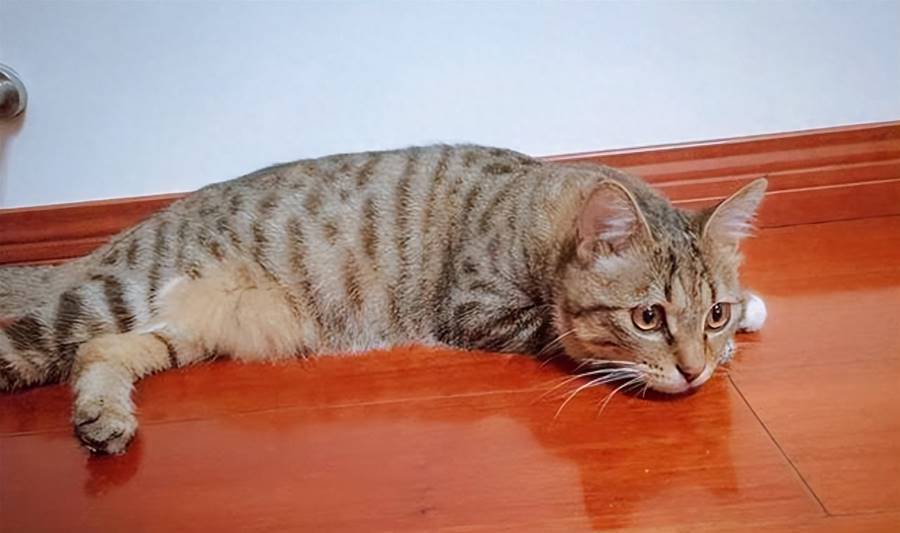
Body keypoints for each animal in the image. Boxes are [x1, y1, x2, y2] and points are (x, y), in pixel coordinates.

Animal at [0, 144, 767, 454]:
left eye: (714, 313)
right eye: (648, 316)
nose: (696, 370)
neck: (533, 201)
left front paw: (748, 318)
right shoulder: (479, 306)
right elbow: (558, 334)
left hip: (182, 328)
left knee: (100, 353)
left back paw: (101, 418)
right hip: (108, 297)